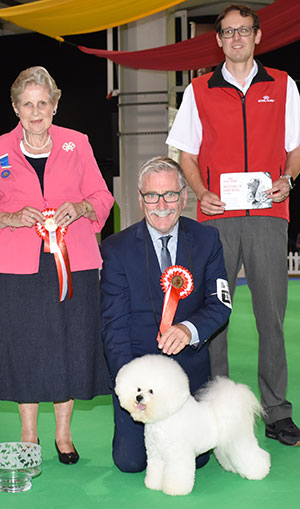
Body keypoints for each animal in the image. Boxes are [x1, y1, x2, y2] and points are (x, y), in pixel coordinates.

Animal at [115, 356, 270, 494]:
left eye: (151, 391)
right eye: (138, 389)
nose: (138, 398)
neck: (165, 419)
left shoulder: (178, 454)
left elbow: (178, 473)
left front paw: (175, 489)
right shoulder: (155, 454)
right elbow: (156, 470)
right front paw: (154, 484)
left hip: (239, 440)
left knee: (252, 455)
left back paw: (260, 471)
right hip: (224, 444)